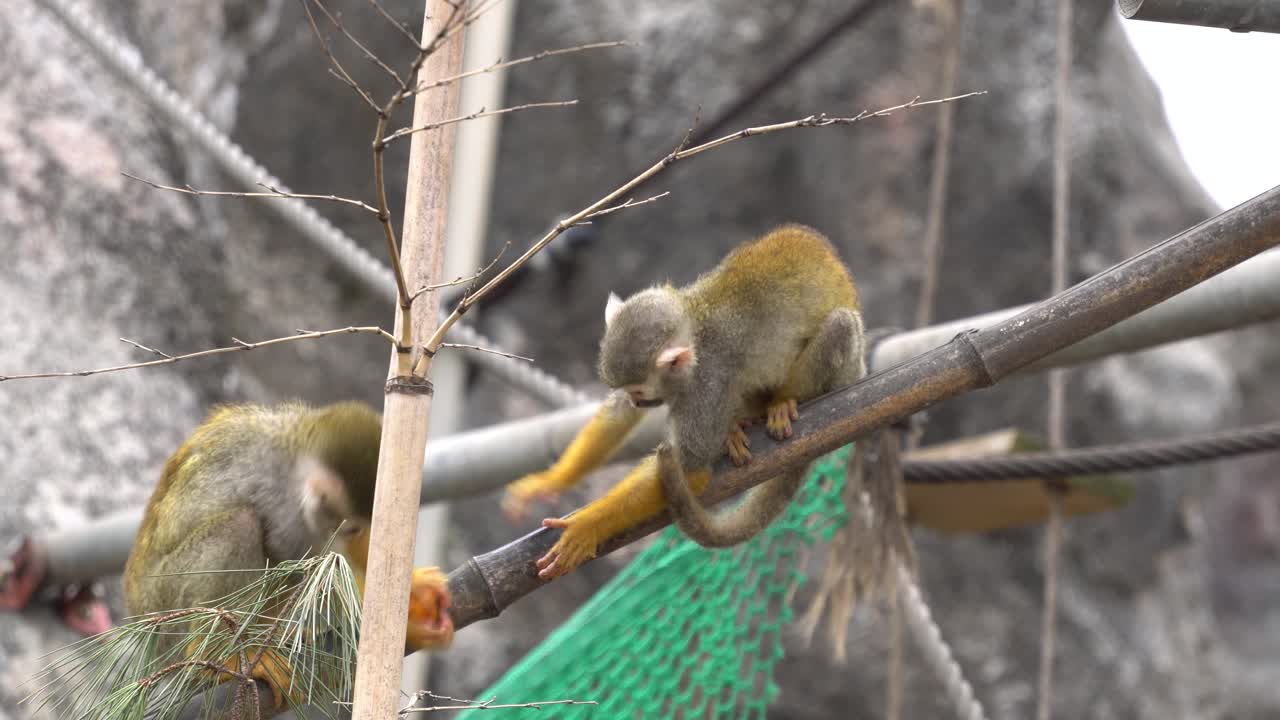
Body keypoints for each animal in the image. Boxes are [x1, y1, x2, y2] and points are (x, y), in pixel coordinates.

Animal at [123, 401, 453, 710]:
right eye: (351, 528)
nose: (354, 534)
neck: (296, 453)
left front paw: (416, 592)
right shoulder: (287, 508)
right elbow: (297, 563)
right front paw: (407, 624)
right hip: (169, 609)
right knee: (241, 526)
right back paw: (218, 653)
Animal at [502, 224, 866, 577]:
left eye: (640, 392)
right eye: (629, 392)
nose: (637, 403)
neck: (696, 327)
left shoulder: (707, 383)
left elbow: (690, 470)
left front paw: (586, 526)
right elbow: (616, 416)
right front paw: (551, 481)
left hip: (849, 371)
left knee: (841, 325)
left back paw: (784, 403)